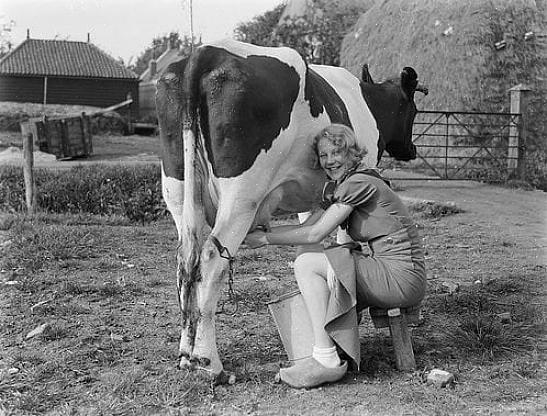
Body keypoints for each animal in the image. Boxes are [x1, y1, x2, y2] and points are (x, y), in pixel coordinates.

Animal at [155, 39, 428, 380]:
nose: (412, 150)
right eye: (413, 110)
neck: (368, 102)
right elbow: (344, 241)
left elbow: (308, 243)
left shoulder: (309, 200)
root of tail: (205, 51)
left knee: (184, 261)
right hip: (241, 196)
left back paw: (185, 355)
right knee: (211, 259)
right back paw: (208, 363)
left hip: (178, 190)